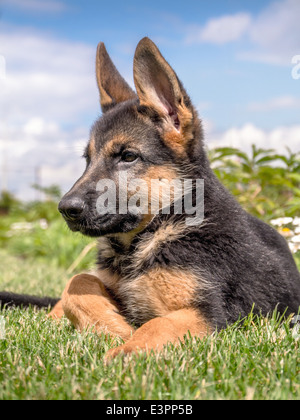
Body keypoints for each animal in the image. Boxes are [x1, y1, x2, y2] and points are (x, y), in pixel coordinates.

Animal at [0, 38, 300, 358]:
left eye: (128, 156)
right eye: (87, 160)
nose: (66, 209)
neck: (160, 227)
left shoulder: (210, 313)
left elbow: (158, 325)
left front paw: (123, 353)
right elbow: (77, 282)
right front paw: (114, 327)